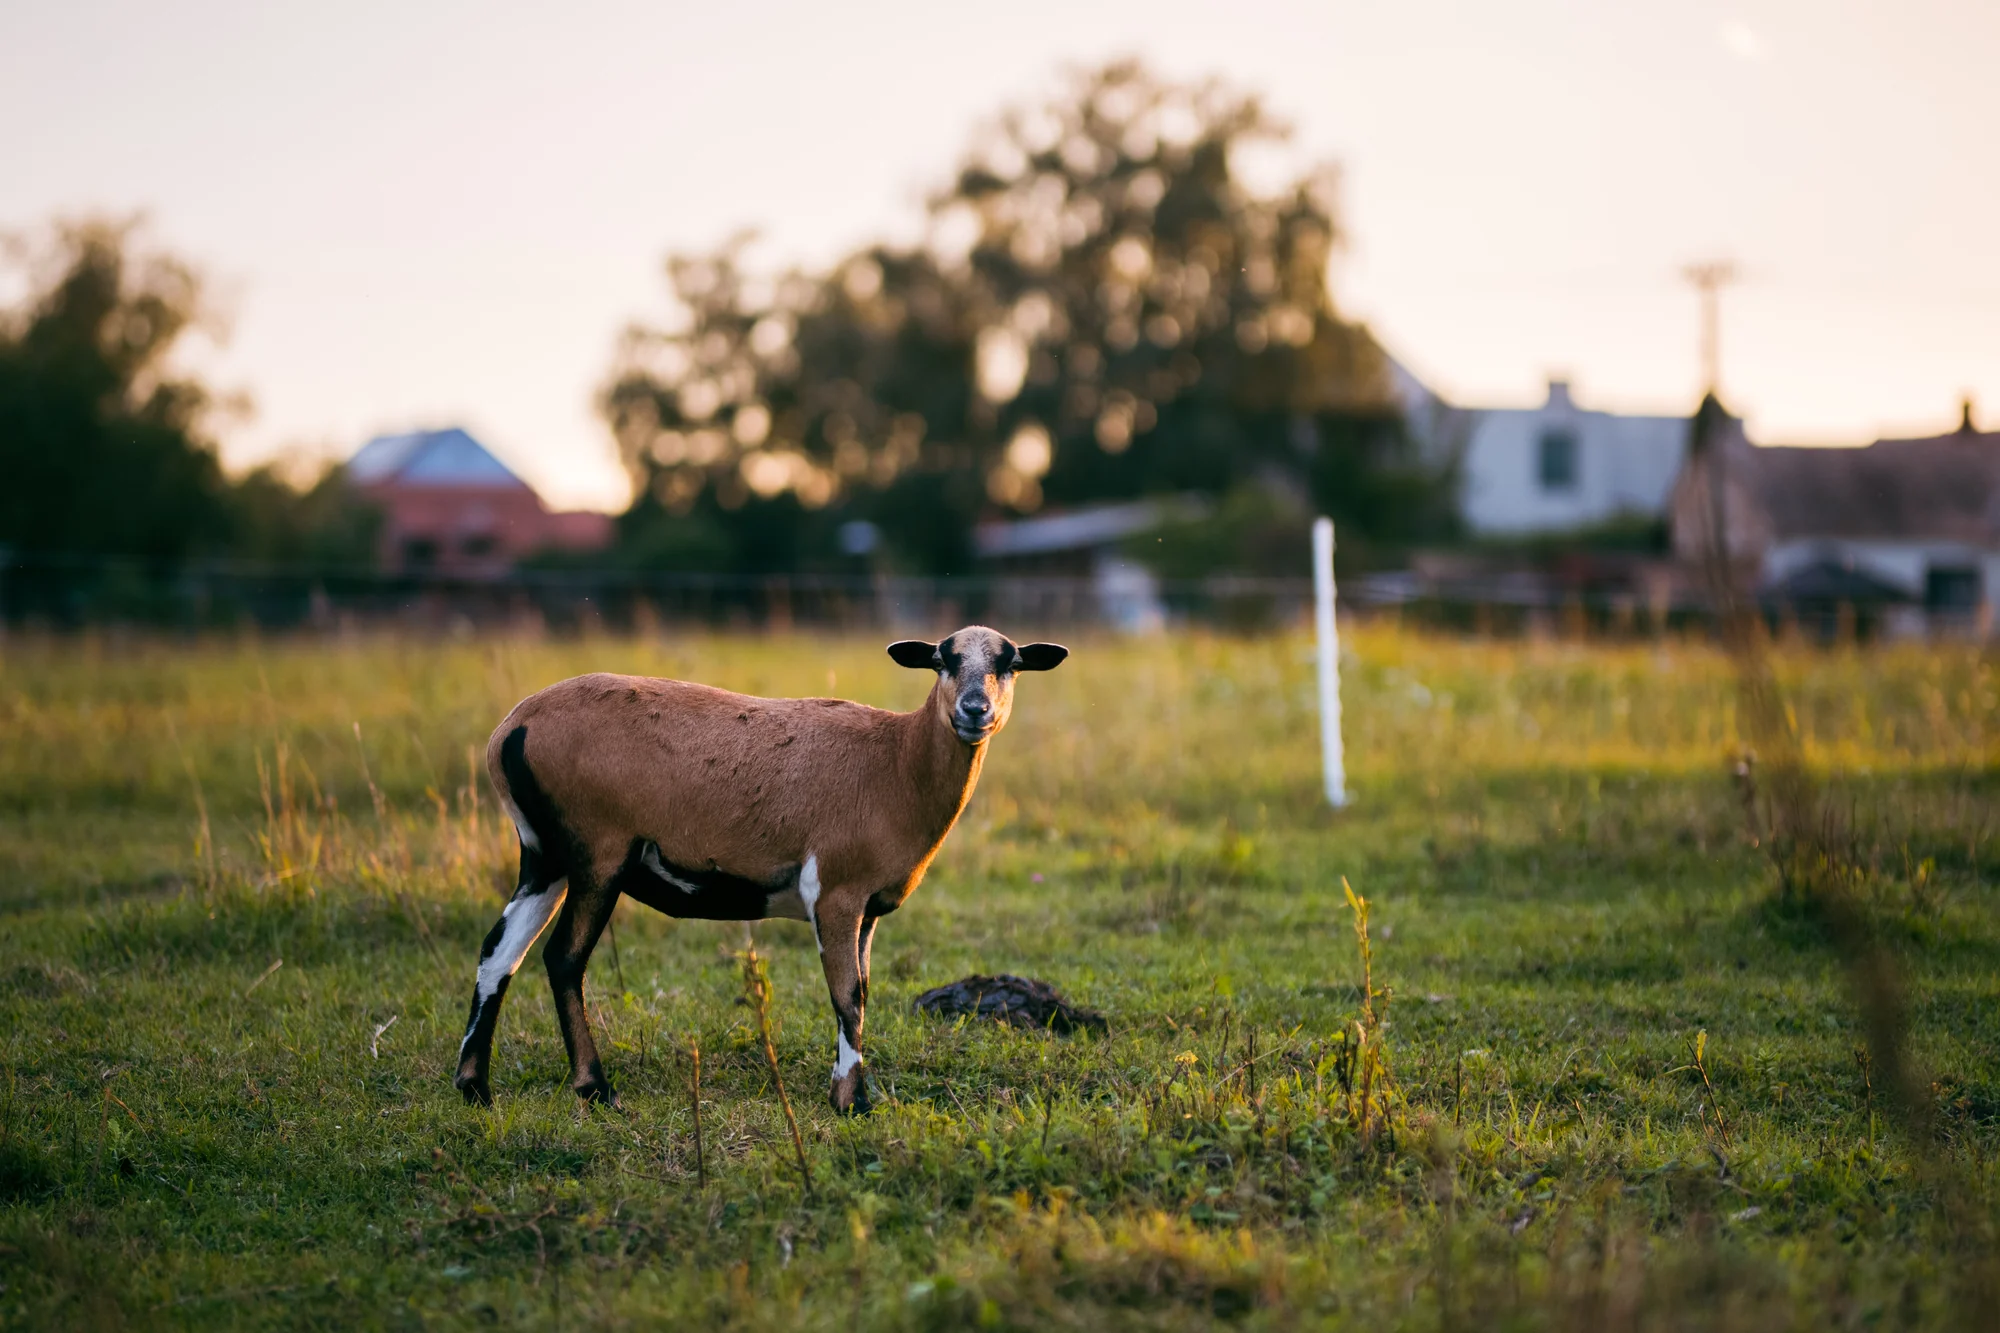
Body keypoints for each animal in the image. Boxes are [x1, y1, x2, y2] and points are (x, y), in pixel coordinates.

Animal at [452, 626, 1067, 1114]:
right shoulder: (835, 892)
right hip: (599, 856)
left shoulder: (867, 911)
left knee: (498, 953)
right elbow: (848, 995)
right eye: (943, 659)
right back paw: (595, 1089)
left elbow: (863, 990)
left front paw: (848, 1091)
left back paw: (474, 1087)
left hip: (545, 859)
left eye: (1009, 663)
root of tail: (510, 731)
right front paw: (852, 1102)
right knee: (563, 959)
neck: (894, 760)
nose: (974, 711)